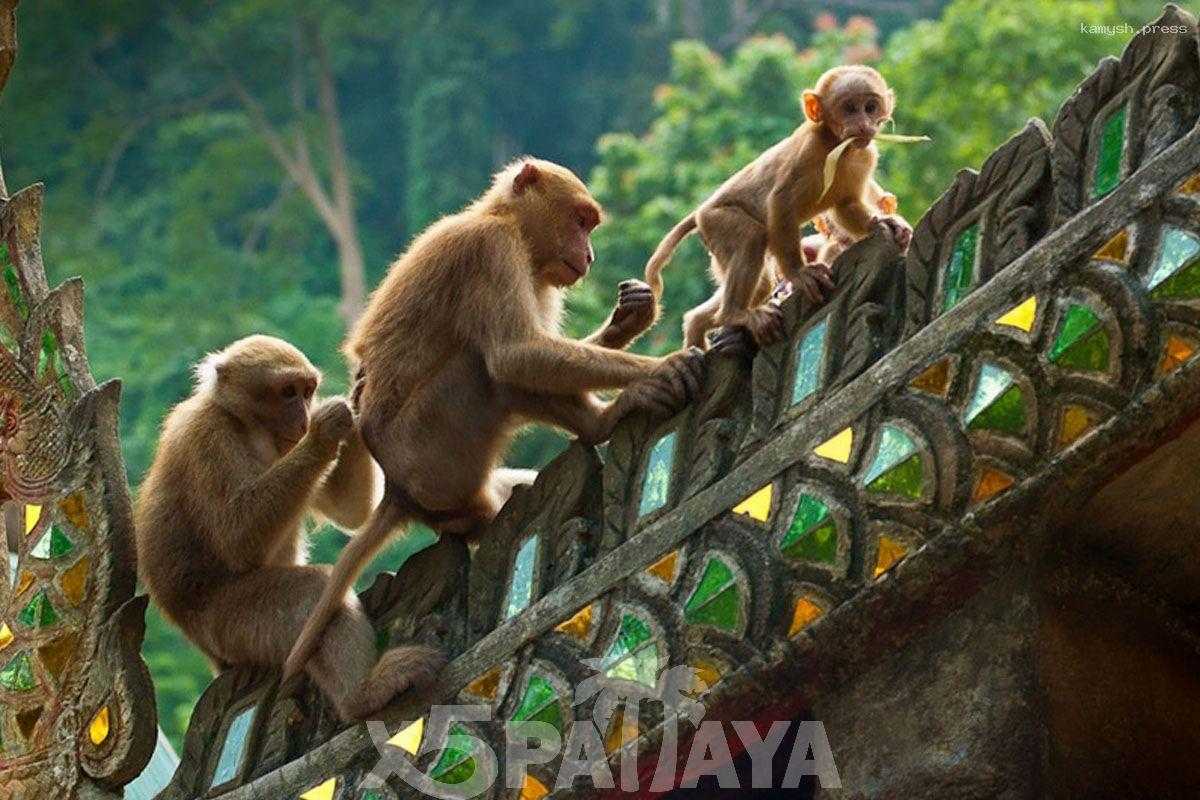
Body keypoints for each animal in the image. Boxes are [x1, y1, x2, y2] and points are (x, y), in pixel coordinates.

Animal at [135, 335, 446, 724]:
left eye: (307, 390)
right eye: (287, 392)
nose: (302, 416)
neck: (247, 425)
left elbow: (350, 511)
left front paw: (356, 399)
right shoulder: (208, 438)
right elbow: (236, 541)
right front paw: (323, 432)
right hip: (230, 625)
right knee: (311, 592)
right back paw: (361, 696)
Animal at [282, 159, 705, 681]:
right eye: (581, 220)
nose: (588, 255)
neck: (508, 223)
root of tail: (400, 491)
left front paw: (627, 320)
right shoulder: (491, 252)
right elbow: (516, 355)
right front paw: (662, 365)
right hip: (434, 449)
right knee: (487, 369)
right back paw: (605, 421)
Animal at [648, 63, 907, 347]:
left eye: (870, 107)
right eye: (850, 108)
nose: (863, 125)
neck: (837, 145)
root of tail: (700, 213)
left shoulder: (865, 155)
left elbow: (846, 205)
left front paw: (884, 222)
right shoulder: (809, 152)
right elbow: (780, 201)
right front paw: (799, 273)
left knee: (760, 282)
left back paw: (702, 324)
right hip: (717, 221)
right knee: (751, 237)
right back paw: (734, 314)